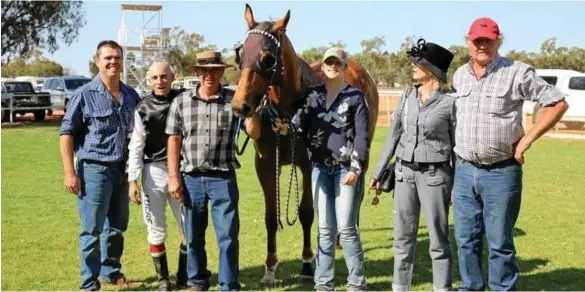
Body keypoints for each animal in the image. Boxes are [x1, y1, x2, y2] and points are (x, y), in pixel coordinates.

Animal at [230, 2, 380, 286]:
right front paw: (270, 269)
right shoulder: (265, 165)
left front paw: (308, 264)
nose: (240, 106)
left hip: (362, 151)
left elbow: (307, 212)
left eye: (267, 58)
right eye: (239, 54)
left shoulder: (309, 164)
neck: (289, 109)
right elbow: (270, 216)